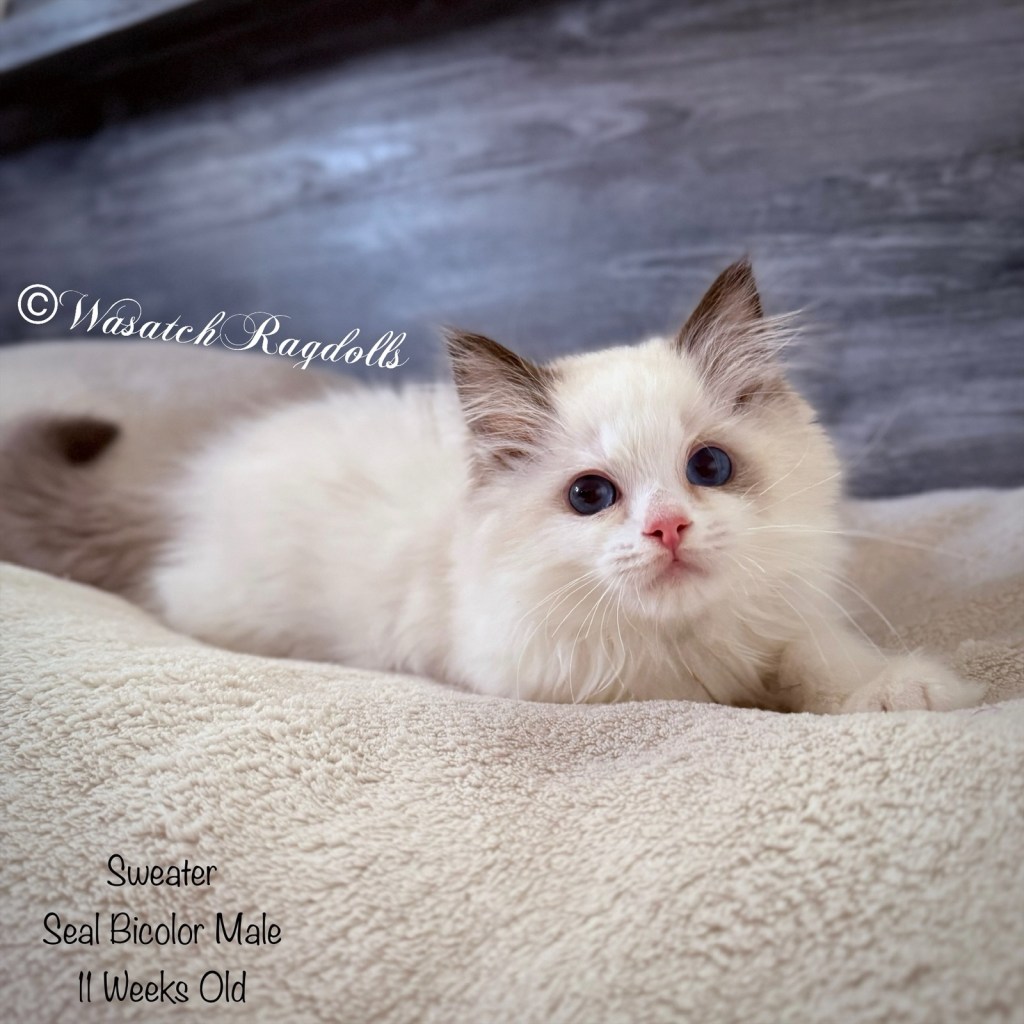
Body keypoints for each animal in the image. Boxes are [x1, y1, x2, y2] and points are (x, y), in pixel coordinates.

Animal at [0, 259, 985, 713]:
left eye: (709, 469)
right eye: (591, 497)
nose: (668, 528)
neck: (685, 638)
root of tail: (187, 488)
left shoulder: (783, 613)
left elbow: (816, 654)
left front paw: (897, 692)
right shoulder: (566, 680)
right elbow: (709, 692)